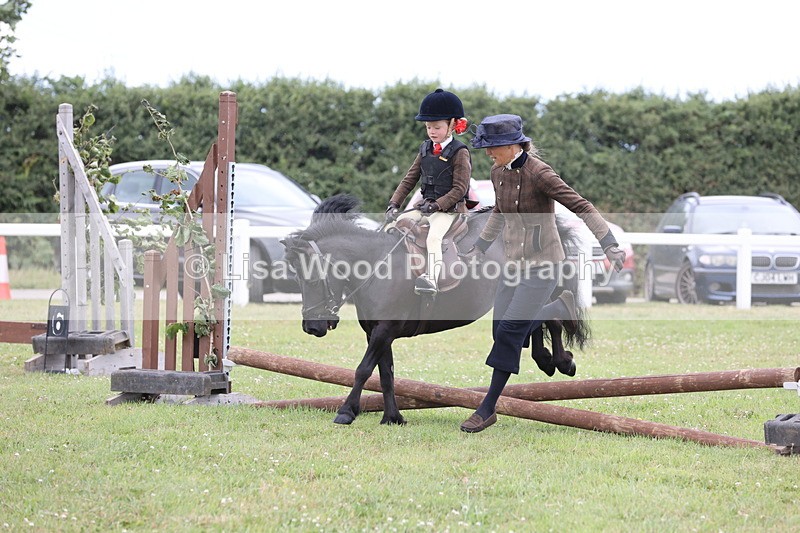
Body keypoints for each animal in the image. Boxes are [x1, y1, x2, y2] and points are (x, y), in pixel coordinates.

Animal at [281, 194, 590, 426]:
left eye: (312, 278)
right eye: (296, 278)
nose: (312, 327)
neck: (377, 266)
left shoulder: (384, 330)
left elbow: (363, 369)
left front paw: (347, 411)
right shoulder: (378, 332)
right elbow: (386, 374)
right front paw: (393, 417)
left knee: (552, 315)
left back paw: (561, 360)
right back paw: (547, 359)